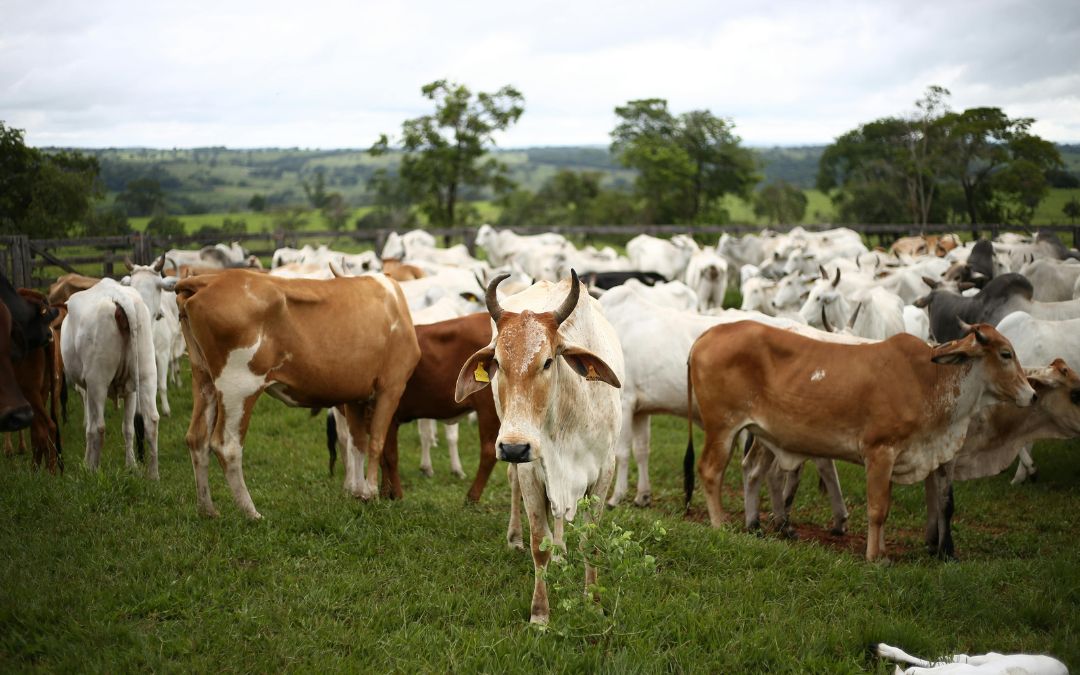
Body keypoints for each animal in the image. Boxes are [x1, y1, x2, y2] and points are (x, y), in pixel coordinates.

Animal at [60, 276, 159, 477]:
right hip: (146, 373)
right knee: (151, 421)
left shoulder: (87, 389)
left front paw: (86, 464)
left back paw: (93, 471)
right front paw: (131, 466)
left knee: (98, 427)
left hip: (98, 381)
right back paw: (153, 475)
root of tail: (119, 296)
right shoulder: (130, 391)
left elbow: (89, 427)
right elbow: (128, 428)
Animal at [174, 266, 419, 516]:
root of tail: (209, 280)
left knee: (197, 439)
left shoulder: (355, 396)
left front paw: (359, 493)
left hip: (203, 378)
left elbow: (357, 443)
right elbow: (376, 442)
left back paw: (208, 510)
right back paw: (252, 513)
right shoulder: (391, 386)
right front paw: (371, 493)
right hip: (238, 386)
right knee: (227, 446)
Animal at [455, 271, 626, 622]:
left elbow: (590, 539)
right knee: (515, 488)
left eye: (547, 362)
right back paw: (515, 538)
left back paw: (561, 553)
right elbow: (539, 543)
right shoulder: (531, 470)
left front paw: (593, 602)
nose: (513, 448)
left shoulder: (605, 470)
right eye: (497, 362)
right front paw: (539, 615)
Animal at [686, 317, 1032, 561]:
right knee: (710, 471)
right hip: (722, 427)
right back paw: (720, 525)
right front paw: (874, 557)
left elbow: (891, 506)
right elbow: (877, 509)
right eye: (1006, 354)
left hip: (758, 433)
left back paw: (754, 526)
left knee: (752, 471)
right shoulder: (880, 452)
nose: (1031, 394)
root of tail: (707, 335)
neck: (929, 381)